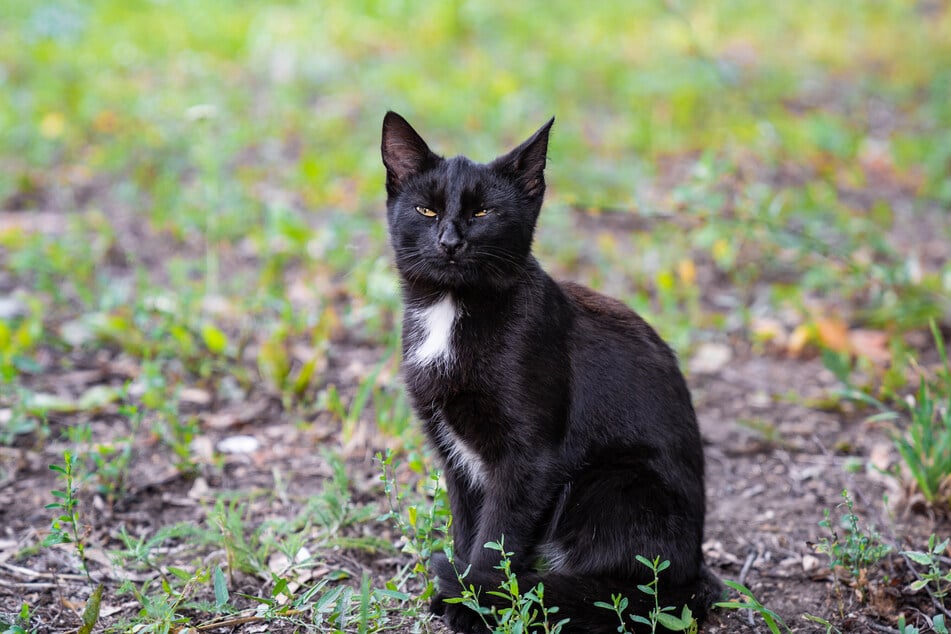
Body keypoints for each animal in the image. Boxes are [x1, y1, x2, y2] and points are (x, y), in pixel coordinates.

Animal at [380, 111, 720, 628]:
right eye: (426, 211)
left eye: (483, 214)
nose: (450, 241)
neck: (451, 309)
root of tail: (693, 572)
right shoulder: (452, 452)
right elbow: (467, 528)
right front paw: (462, 594)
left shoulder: (531, 457)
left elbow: (496, 540)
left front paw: (478, 605)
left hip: (613, 481)